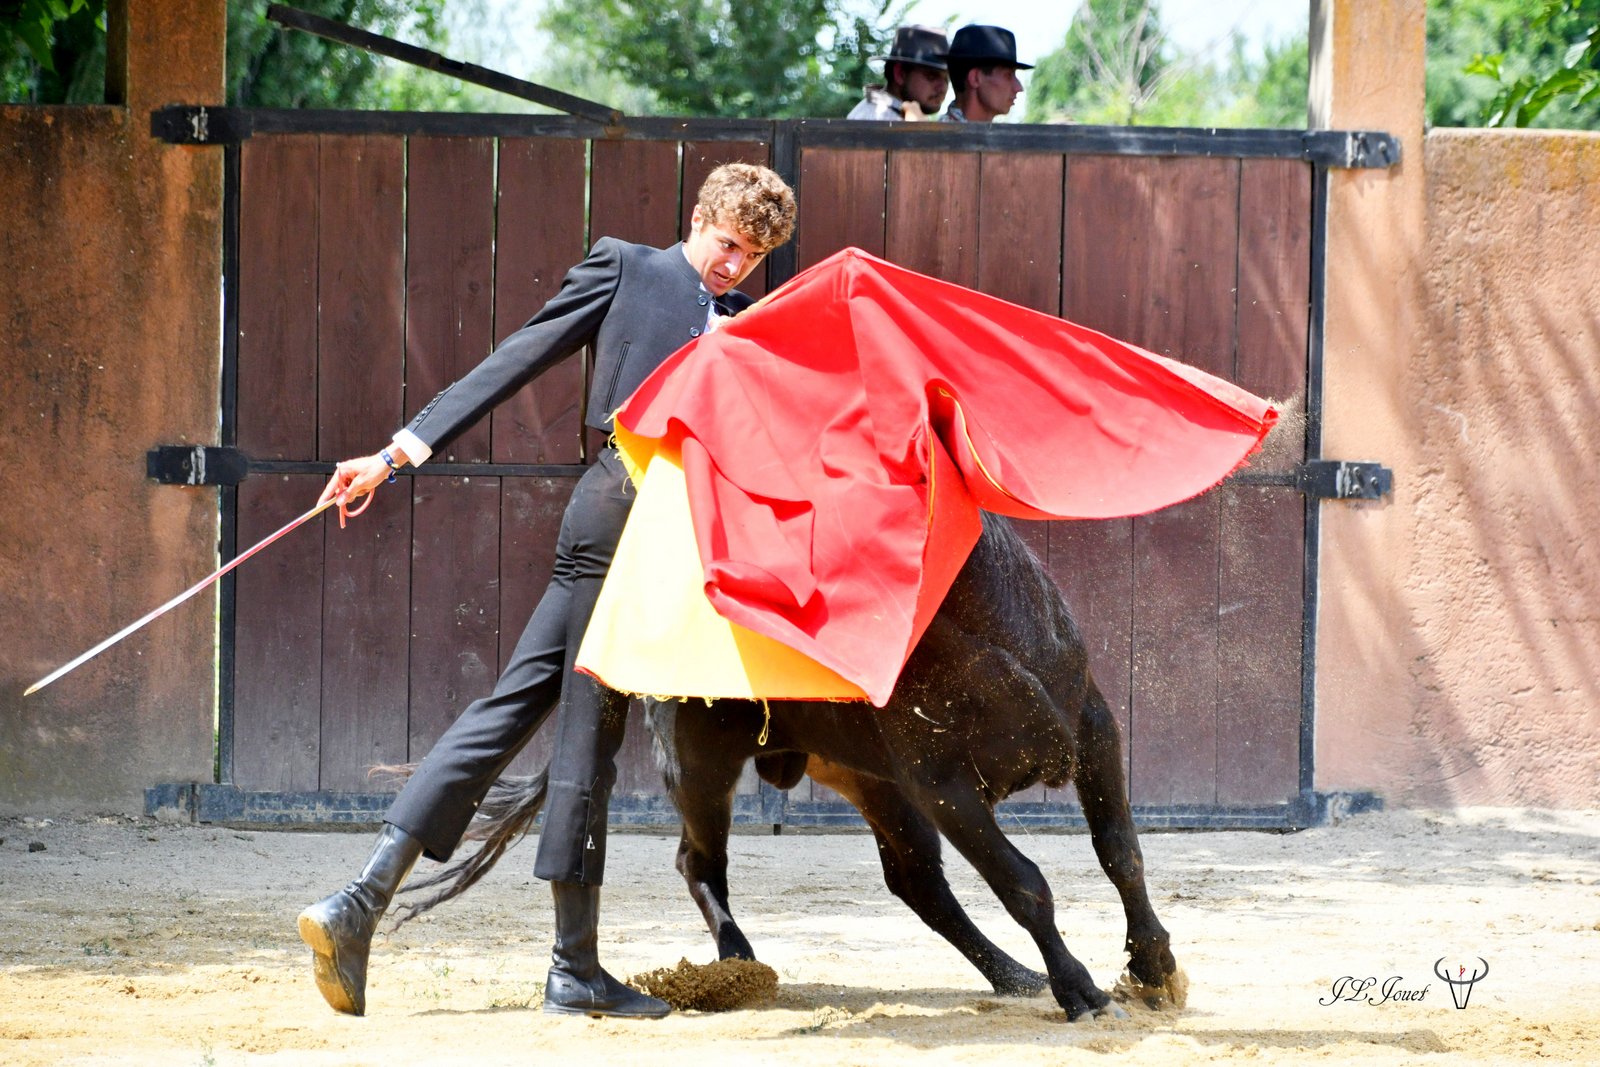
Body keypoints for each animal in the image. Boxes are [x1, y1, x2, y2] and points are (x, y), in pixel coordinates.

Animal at [395, 511, 1184, 1023]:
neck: (967, 633)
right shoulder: (943, 784)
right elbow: (1025, 883)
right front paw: (1085, 992)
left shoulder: (1091, 724)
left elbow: (1121, 851)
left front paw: (1153, 968)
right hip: (703, 769)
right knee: (698, 861)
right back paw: (739, 964)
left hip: (872, 781)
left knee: (918, 882)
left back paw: (1012, 974)